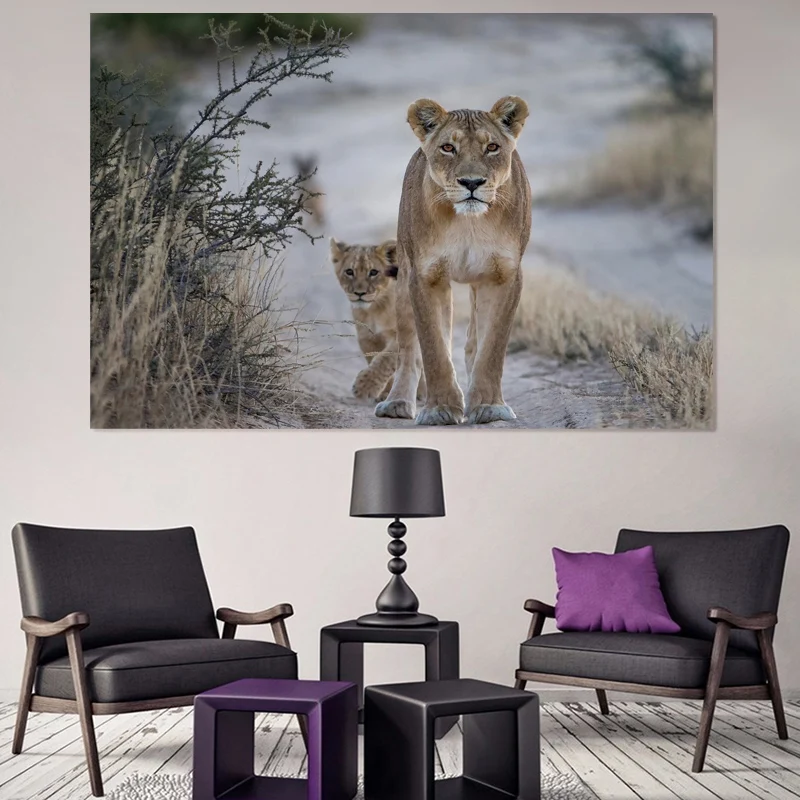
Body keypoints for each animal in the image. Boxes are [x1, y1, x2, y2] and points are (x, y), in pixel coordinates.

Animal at [330, 238, 401, 401]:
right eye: (349, 272)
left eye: (373, 272)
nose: (359, 293)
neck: (375, 309)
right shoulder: (367, 337)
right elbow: (375, 358)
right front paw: (384, 392)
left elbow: (386, 359)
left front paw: (365, 386)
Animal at [375, 96, 532, 425]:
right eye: (448, 147)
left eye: (492, 147)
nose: (471, 182)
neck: (468, 223)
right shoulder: (424, 276)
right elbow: (433, 348)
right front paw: (440, 409)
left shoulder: (505, 275)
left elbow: (492, 347)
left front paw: (488, 406)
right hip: (404, 278)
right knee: (408, 350)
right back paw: (397, 403)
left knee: (472, 342)